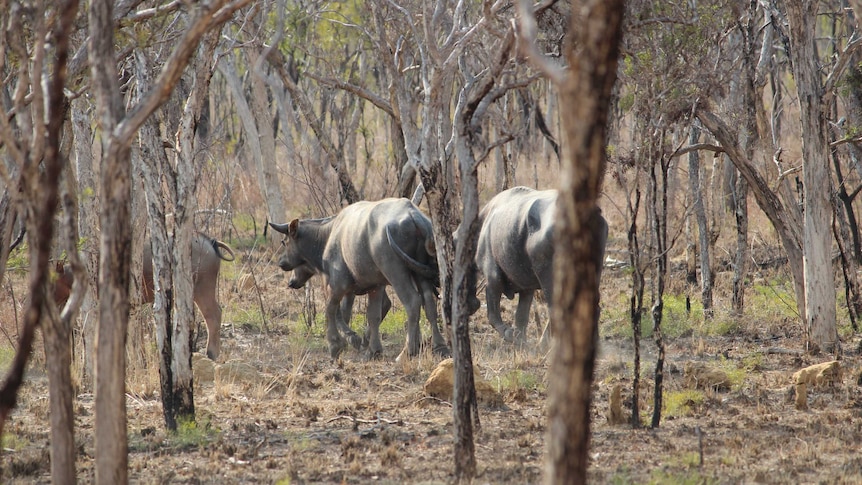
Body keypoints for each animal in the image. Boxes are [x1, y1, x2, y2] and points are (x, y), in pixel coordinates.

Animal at [270, 198, 448, 360]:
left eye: (284, 242)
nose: (282, 263)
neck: (328, 236)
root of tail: (414, 215)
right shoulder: (376, 286)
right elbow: (372, 315)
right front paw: (373, 350)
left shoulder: (337, 284)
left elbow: (332, 309)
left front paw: (337, 344)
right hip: (421, 271)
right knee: (429, 303)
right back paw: (440, 346)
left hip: (397, 272)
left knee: (412, 302)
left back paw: (407, 351)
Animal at [472, 185, 608, 340]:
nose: (473, 304)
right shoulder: (526, 288)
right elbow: (521, 317)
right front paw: (520, 339)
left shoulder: (493, 277)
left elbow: (493, 315)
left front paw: (509, 334)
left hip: (549, 275)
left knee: (557, 309)